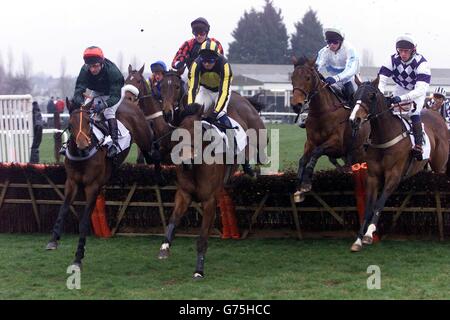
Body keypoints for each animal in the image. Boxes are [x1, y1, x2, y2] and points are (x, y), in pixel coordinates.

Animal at [45, 97, 161, 268]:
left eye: (88, 121)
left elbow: (84, 222)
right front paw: (53, 240)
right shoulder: (71, 182)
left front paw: (78, 257)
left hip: (144, 138)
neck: (82, 156)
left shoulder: (92, 186)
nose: (83, 144)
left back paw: (161, 176)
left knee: (154, 153)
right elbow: (63, 209)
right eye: (71, 124)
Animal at [290, 56, 370, 201]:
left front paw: (306, 182)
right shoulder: (310, 142)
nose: (296, 105)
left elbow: (316, 152)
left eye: (308, 78)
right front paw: (299, 187)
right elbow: (303, 160)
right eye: (292, 77)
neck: (321, 113)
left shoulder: (337, 144)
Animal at [348, 77, 446, 250]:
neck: (384, 137)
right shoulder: (372, 176)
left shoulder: (394, 175)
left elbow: (379, 203)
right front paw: (358, 240)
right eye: (354, 95)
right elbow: (368, 207)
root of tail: (437, 115)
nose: (354, 120)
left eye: (371, 96)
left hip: (439, 166)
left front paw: (369, 234)